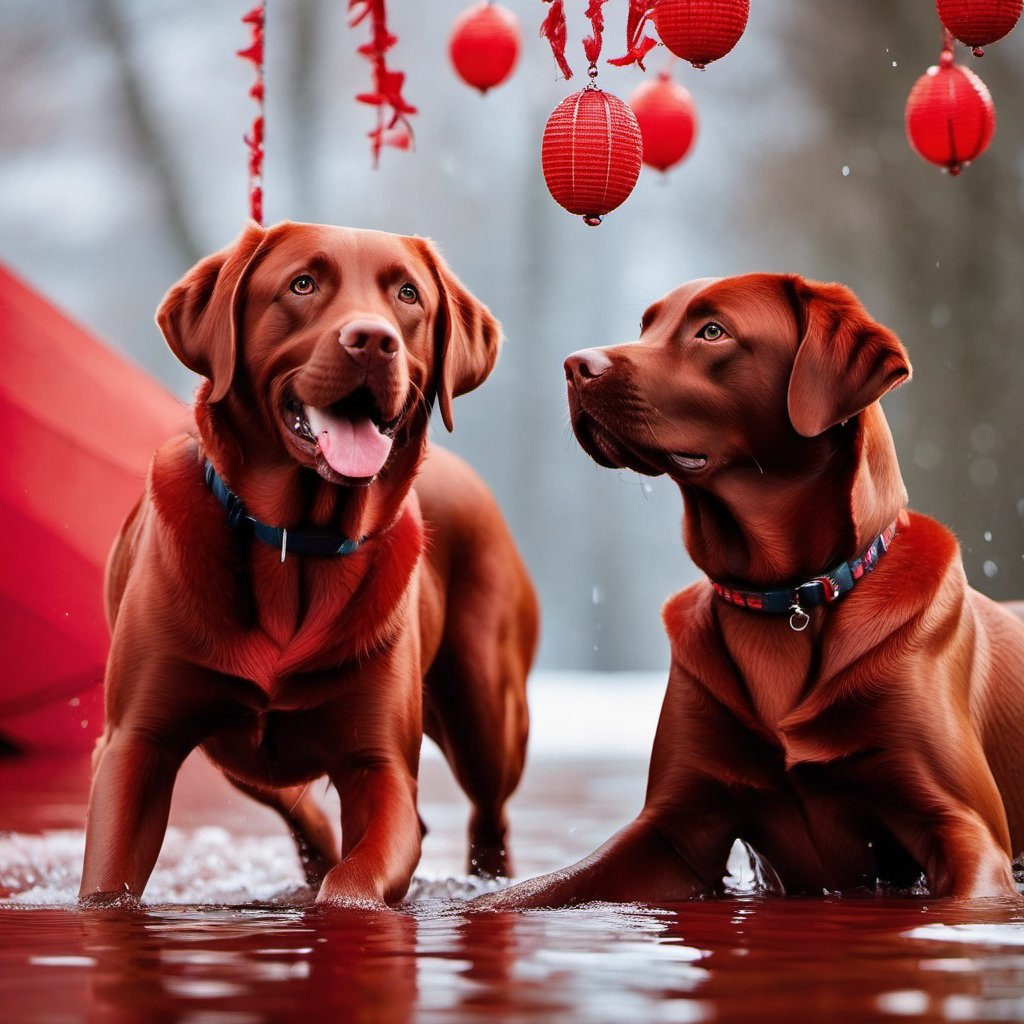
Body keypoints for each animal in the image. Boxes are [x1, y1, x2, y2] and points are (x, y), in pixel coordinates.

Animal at [80, 218, 540, 905]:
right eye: (301, 284)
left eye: (407, 295)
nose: (373, 341)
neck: (297, 539)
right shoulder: (135, 743)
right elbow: (107, 887)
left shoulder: (380, 766)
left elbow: (353, 883)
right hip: (238, 753)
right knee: (301, 807)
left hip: (487, 715)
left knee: (489, 814)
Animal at [477, 270, 1024, 905]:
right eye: (647, 325)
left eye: (712, 331)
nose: (572, 364)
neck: (787, 595)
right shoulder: (670, 831)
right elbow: (521, 895)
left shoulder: (963, 829)